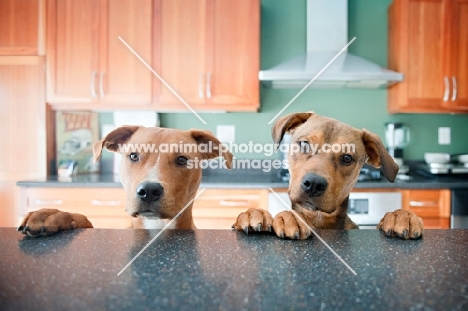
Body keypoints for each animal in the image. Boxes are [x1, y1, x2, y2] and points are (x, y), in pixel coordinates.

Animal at [233, 112, 424, 241]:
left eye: (347, 158)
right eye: (304, 143)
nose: (313, 184)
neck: (319, 219)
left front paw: (401, 216)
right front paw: (257, 214)